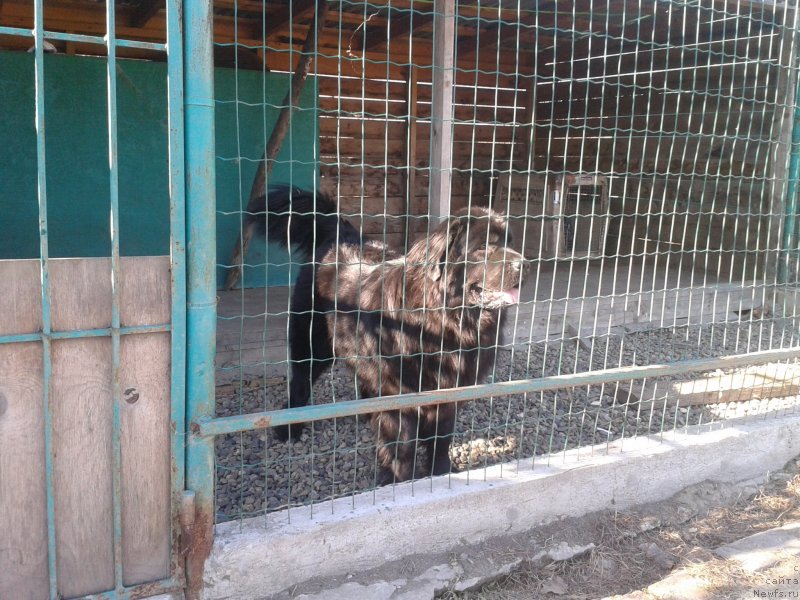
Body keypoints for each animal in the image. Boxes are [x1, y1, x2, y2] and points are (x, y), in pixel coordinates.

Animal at [252, 186, 524, 482]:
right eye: (483, 247)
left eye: (511, 243)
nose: (524, 263)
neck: (448, 320)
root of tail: (341, 235)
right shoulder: (400, 393)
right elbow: (401, 446)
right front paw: (400, 481)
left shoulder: (449, 390)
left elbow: (441, 439)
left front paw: (441, 473)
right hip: (313, 344)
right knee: (300, 383)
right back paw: (288, 430)